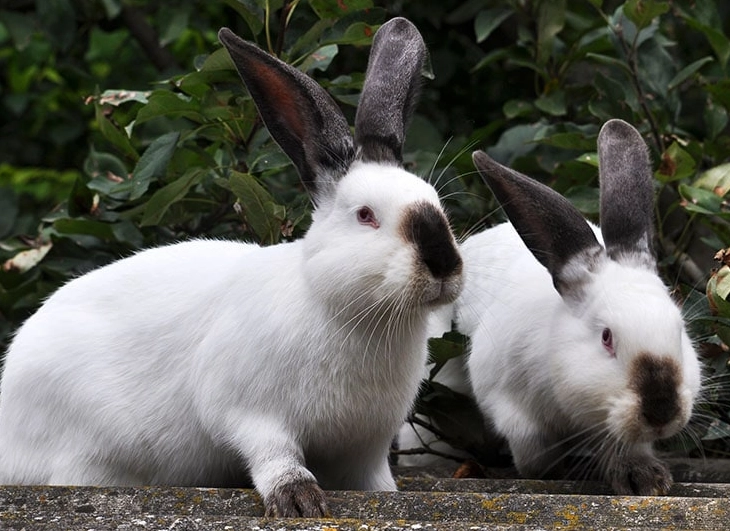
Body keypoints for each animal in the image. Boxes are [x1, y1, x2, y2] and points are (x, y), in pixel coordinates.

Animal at [0, 18, 463, 518]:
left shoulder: (365, 448)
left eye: (437, 204)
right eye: (365, 215)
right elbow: (274, 455)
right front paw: (299, 501)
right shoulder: (248, 411)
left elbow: (375, 482)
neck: (352, 313)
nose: (444, 264)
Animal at [455, 119, 701, 495]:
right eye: (606, 338)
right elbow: (533, 453)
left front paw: (644, 479)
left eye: (680, 330)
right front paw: (553, 471)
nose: (662, 410)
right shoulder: (510, 405)